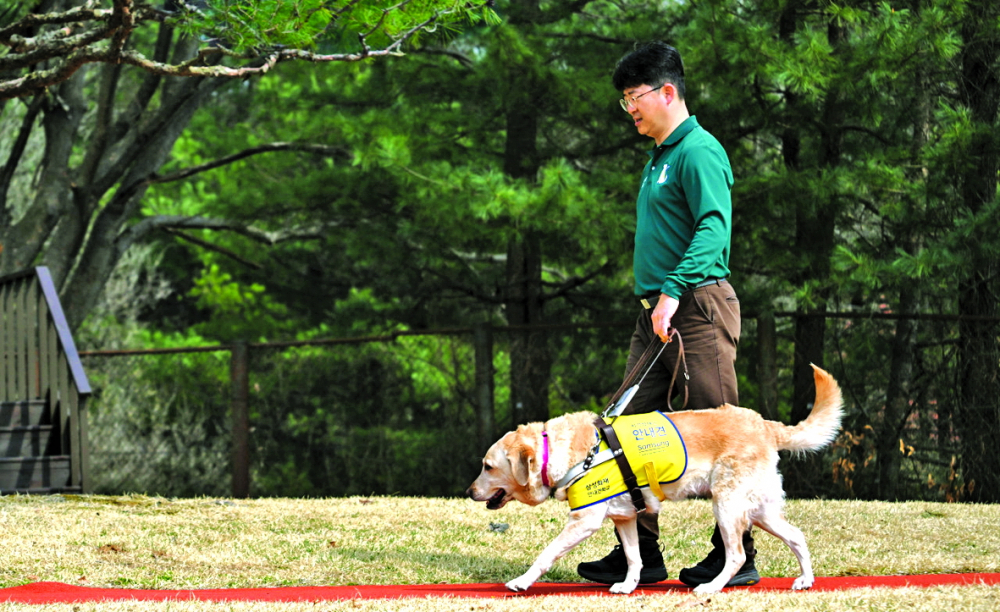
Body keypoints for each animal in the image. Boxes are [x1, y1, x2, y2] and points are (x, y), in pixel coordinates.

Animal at [464, 364, 840, 592]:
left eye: (488, 466)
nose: (468, 492)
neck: (563, 453)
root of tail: (763, 424)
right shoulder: (626, 517)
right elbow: (635, 557)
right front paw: (628, 585)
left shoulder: (584, 521)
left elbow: (547, 553)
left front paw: (522, 580)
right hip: (761, 510)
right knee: (797, 537)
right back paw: (805, 580)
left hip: (727, 505)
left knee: (736, 555)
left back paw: (711, 586)